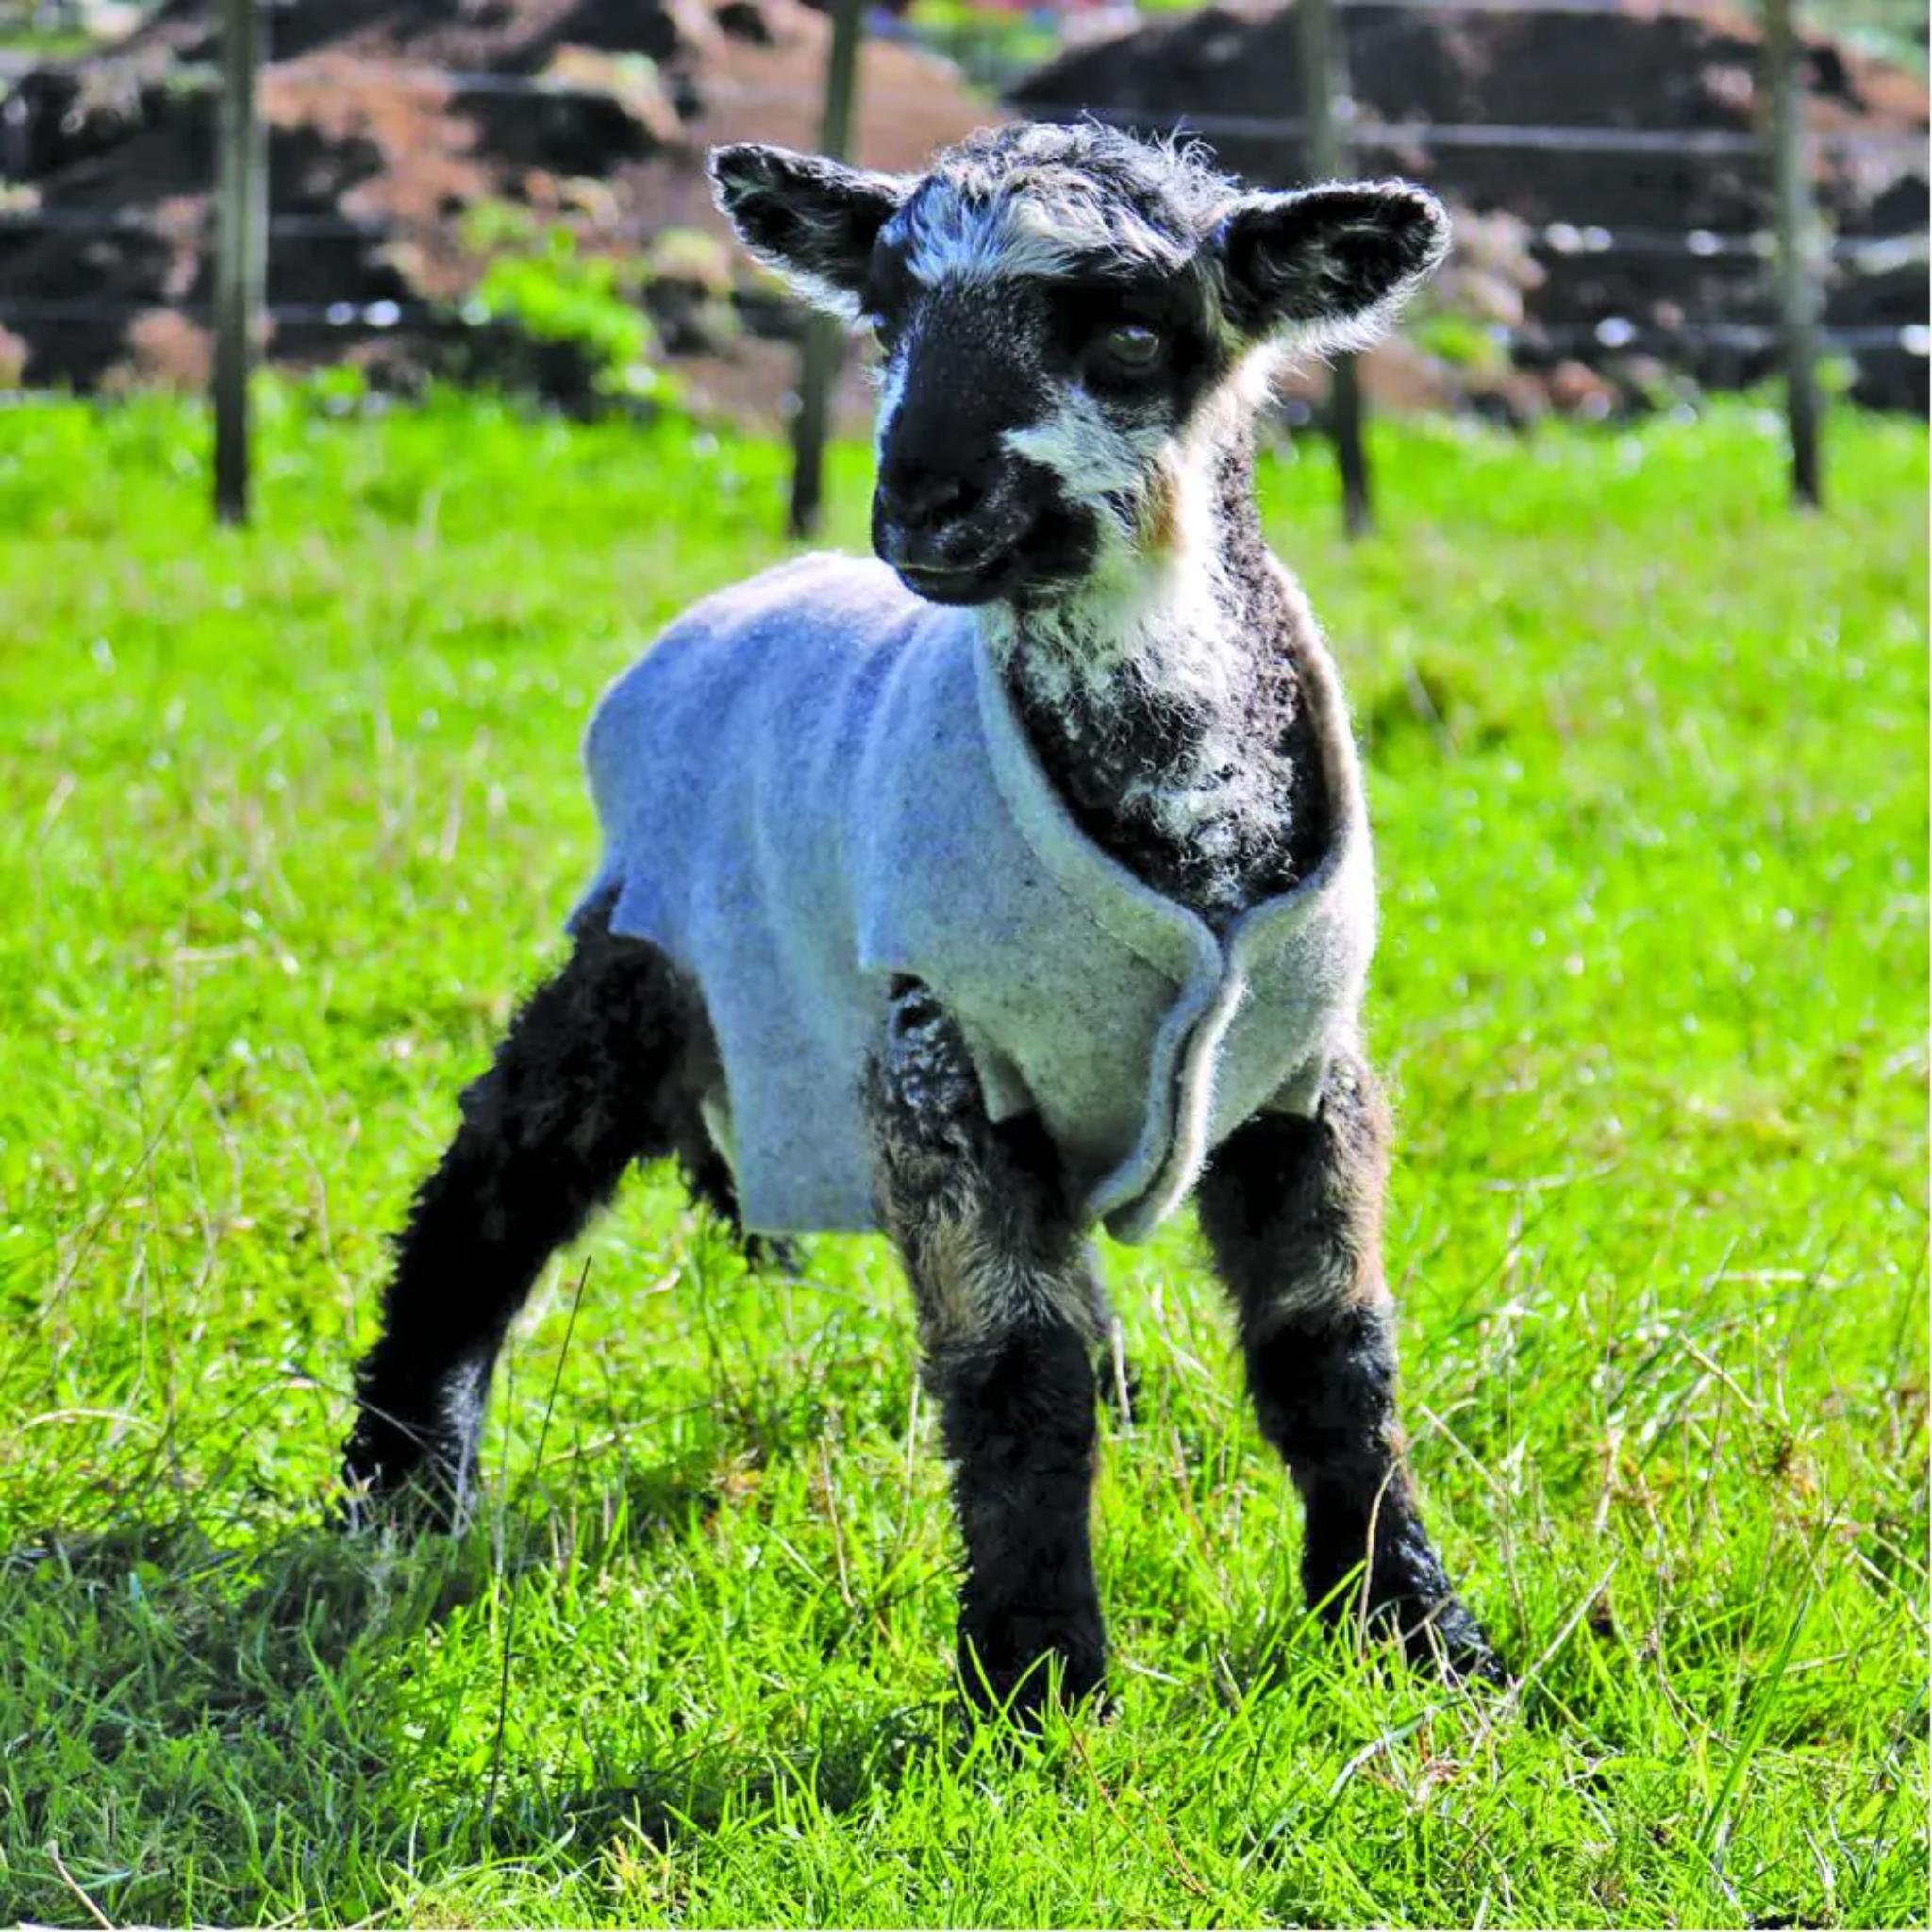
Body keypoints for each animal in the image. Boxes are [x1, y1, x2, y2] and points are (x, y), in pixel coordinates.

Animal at [343, 122, 1499, 1715]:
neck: (1182, 820)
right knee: (496, 1177)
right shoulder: (938, 1056)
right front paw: (1040, 1677)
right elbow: (1016, 1372)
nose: (924, 502)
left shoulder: (1297, 1069)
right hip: (649, 935)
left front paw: (1415, 1629)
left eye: (1131, 334)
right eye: (888, 321)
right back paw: (405, 1485)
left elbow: (1333, 1353)